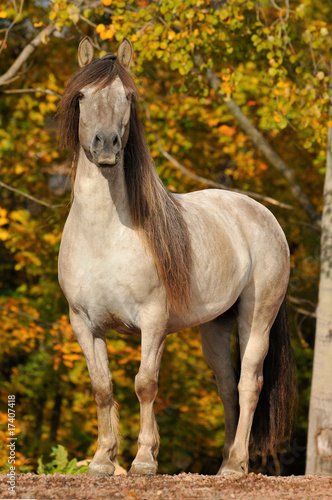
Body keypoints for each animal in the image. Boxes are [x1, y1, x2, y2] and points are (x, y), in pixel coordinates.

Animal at [57, 36, 296, 476]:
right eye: (81, 96)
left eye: (128, 96)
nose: (106, 146)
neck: (105, 235)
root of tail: (262, 215)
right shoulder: (83, 323)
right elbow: (102, 388)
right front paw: (102, 460)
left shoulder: (153, 322)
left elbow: (145, 383)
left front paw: (144, 460)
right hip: (215, 327)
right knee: (226, 387)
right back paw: (223, 462)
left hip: (257, 318)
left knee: (249, 382)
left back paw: (237, 465)